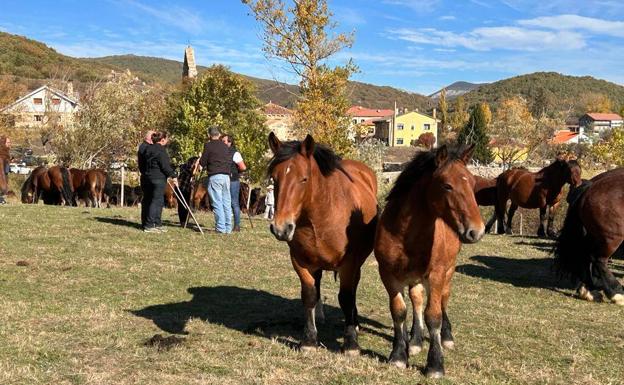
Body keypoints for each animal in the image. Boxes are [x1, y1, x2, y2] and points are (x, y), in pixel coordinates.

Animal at [266, 132, 378, 354]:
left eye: (304, 178)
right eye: (275, 178)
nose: (281, 228)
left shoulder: (349, 263)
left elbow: (346, 297)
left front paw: (351, 343)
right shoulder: (300, 260)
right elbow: (309, 295)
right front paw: (309, 340)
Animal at [372, 143, 486, 376]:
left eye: (472, 183)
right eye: (447, 186)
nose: (476, 231)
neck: (405, 235)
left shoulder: (436, 275)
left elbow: (433, 316)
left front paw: (435, 364)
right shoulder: (388, 275)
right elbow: (399, 311)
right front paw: (399, 355)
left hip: (448, 272)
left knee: (443, 299)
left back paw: (447, 337)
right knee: (416, 299)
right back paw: (415, 340)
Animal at [556, 166, 624, 304]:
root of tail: (591, 187)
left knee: (586, 256)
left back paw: (588, 290)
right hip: (611, 238)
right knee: (599, 260)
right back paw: (616, 293)